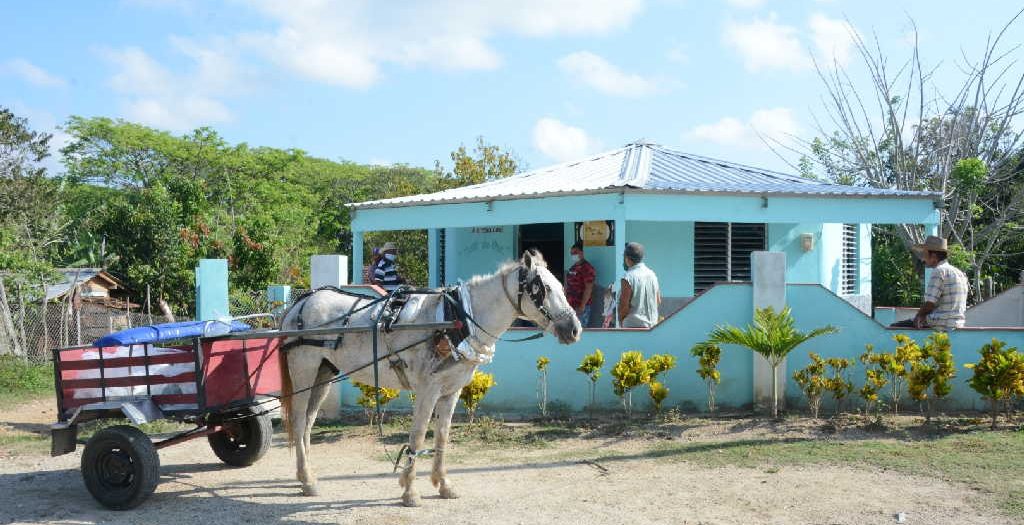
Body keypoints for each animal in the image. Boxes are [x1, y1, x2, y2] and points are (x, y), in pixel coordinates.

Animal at [280, 249, 581, 503]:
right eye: (543, 289)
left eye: (561, 286)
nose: (575, 329)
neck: (456, 319)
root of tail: (299, 303)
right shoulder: (427, 389)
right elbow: (417, 437)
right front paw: (410, 491)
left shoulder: (451, 391)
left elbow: (442, 437)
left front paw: (443, 484)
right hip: (304, 369)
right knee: (298, 420)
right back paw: (307, 480)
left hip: (325, 372)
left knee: (308, 422)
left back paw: (306, 476)